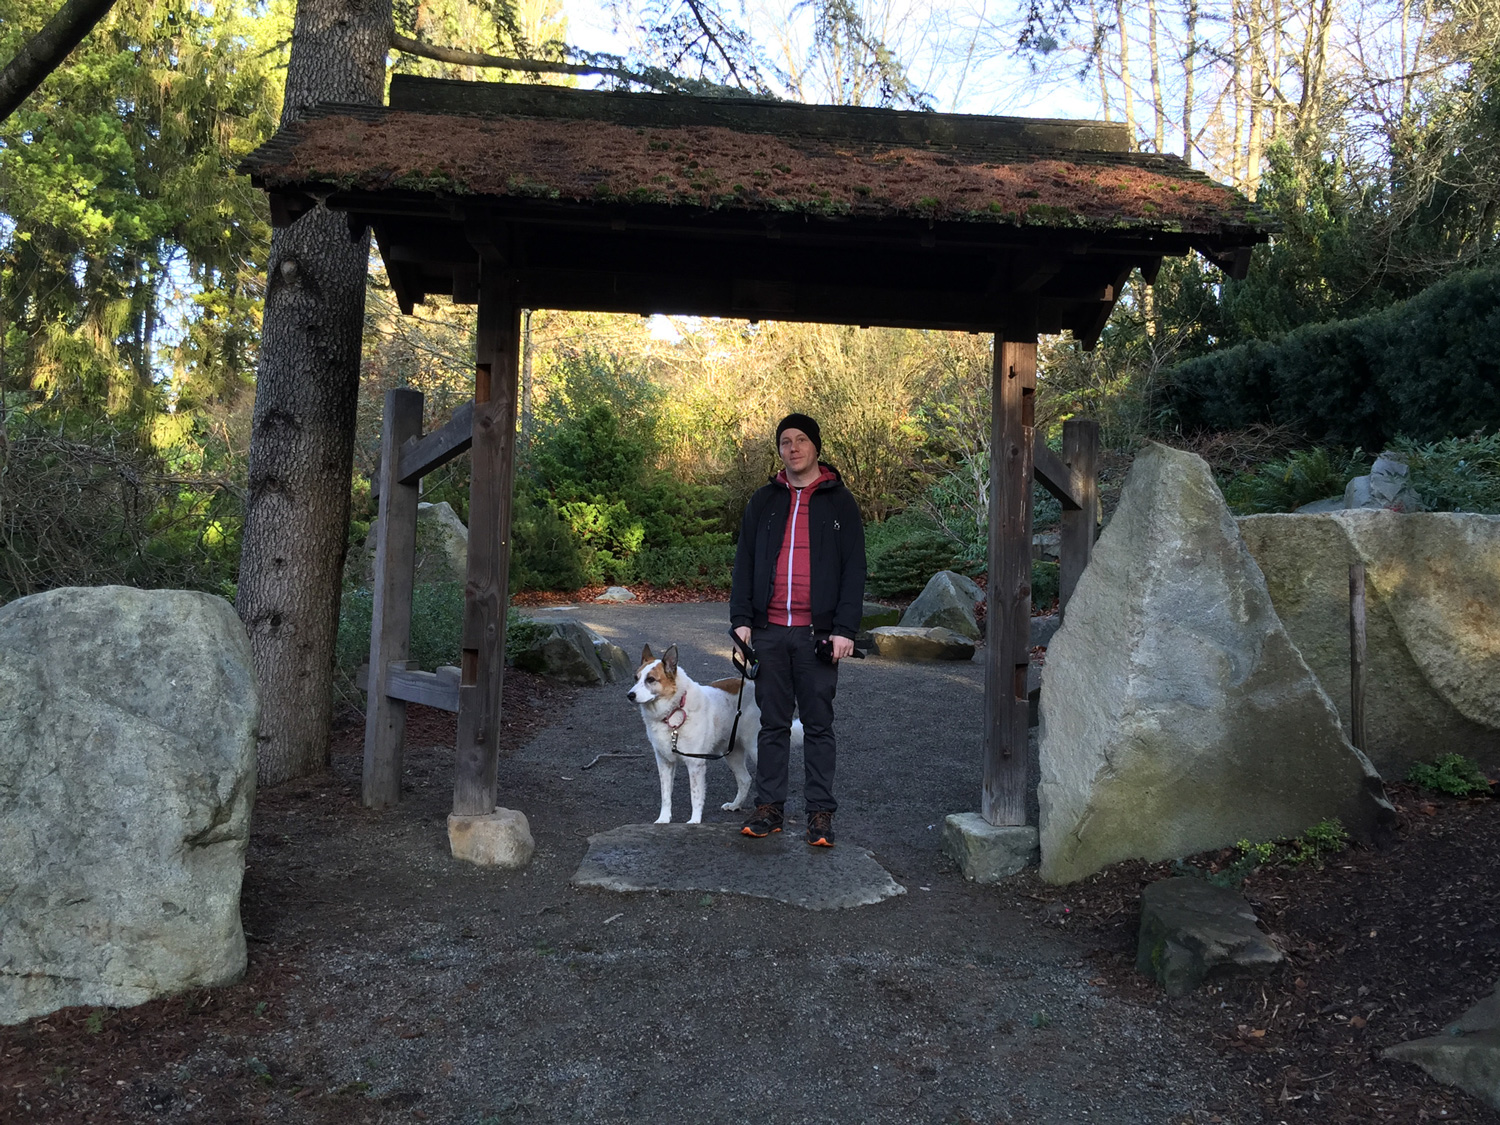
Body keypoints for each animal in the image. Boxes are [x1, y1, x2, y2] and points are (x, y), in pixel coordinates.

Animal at [626, 643, 801, 824]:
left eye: (650, 680)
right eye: (636, 678)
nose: (630, 695)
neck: (675, 709)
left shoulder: (695, 764)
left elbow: (695, 796)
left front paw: (694, 821)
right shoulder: (664, 762)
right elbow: (666, 795)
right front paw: (663, 819)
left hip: (757, 749)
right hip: (731, 752)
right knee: (745, 779)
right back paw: (735, 805)